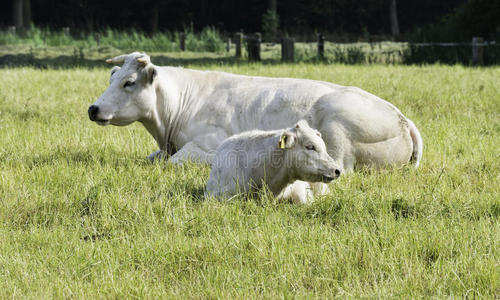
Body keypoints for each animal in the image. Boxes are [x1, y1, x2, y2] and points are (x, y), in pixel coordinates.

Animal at [89, 52, 422, 173]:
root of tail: (403, 119)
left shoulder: (206, 145)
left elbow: (176, 161)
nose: (93, 108)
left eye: (129, 82)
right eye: (112, 76)